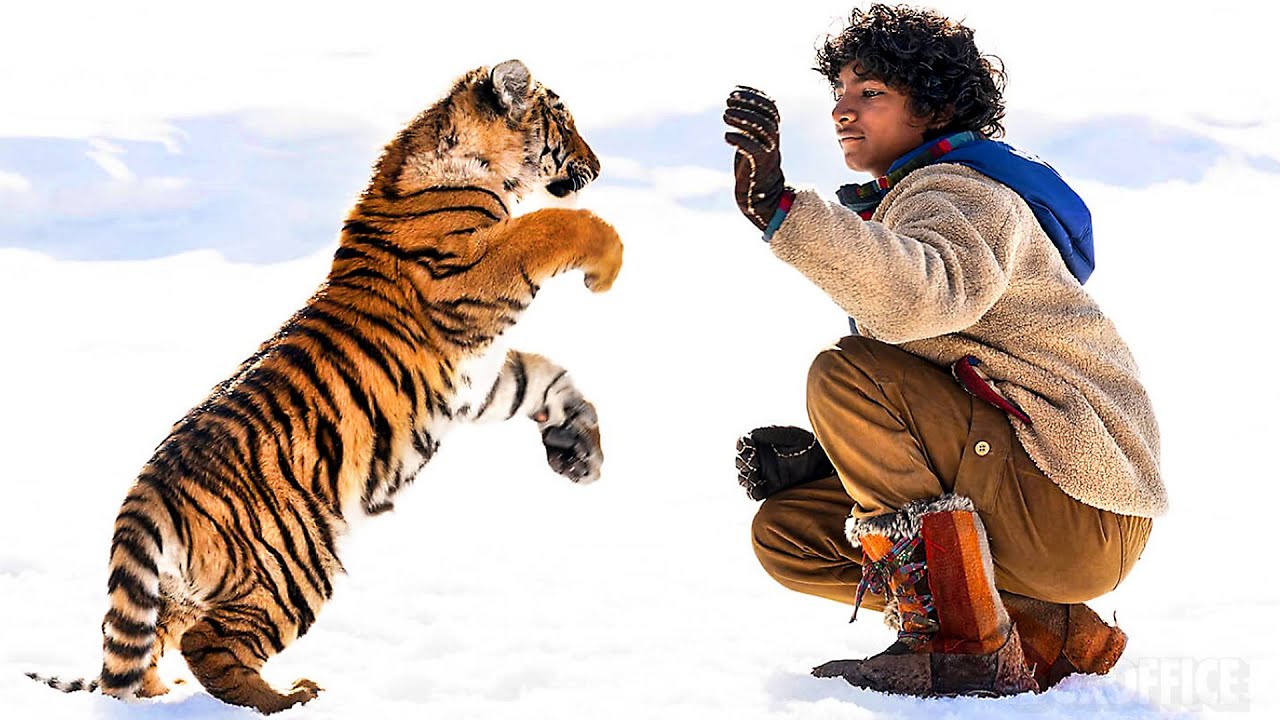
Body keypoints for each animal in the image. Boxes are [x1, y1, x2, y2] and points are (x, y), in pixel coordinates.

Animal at [26, 59, 623, 714]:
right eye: (563, 121)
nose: (599, 165)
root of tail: (146, 492)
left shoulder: (479, 379)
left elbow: (544, 378)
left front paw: (580, 452)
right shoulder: (469, 272)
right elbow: (556, 224)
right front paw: (607, 266)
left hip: (190, 587)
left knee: (150, 645)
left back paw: (161, 694)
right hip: (292, 565)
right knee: (210, 645)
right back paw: (288, 698)